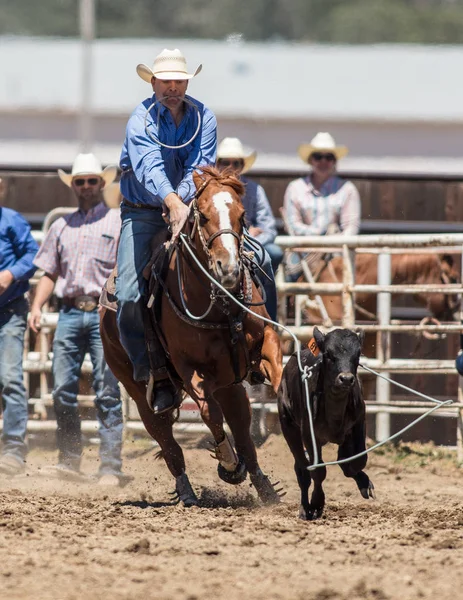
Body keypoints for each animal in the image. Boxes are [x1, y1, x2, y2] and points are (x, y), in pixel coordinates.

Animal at [100, 168, 282, 506]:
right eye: (204, 216)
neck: (220, 305)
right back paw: (189, 491)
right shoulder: (190, 369)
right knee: (168, 442)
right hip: (138, 390)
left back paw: (265, 489)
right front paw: (228, 464)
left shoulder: (266, 340)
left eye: (242, 215)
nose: (228, 269)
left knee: (242, 426)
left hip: (230, 383)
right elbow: (209, 414)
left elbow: (278, 377)